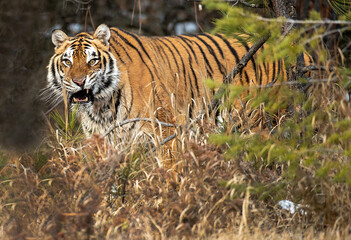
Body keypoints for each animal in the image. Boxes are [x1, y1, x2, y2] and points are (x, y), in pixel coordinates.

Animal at [46, 23, 314, 141]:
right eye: (67, 62)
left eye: (92, 61)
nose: (79, 81)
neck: (101, 106)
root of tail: (301, 50)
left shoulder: (165, 128)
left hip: (266, 121)